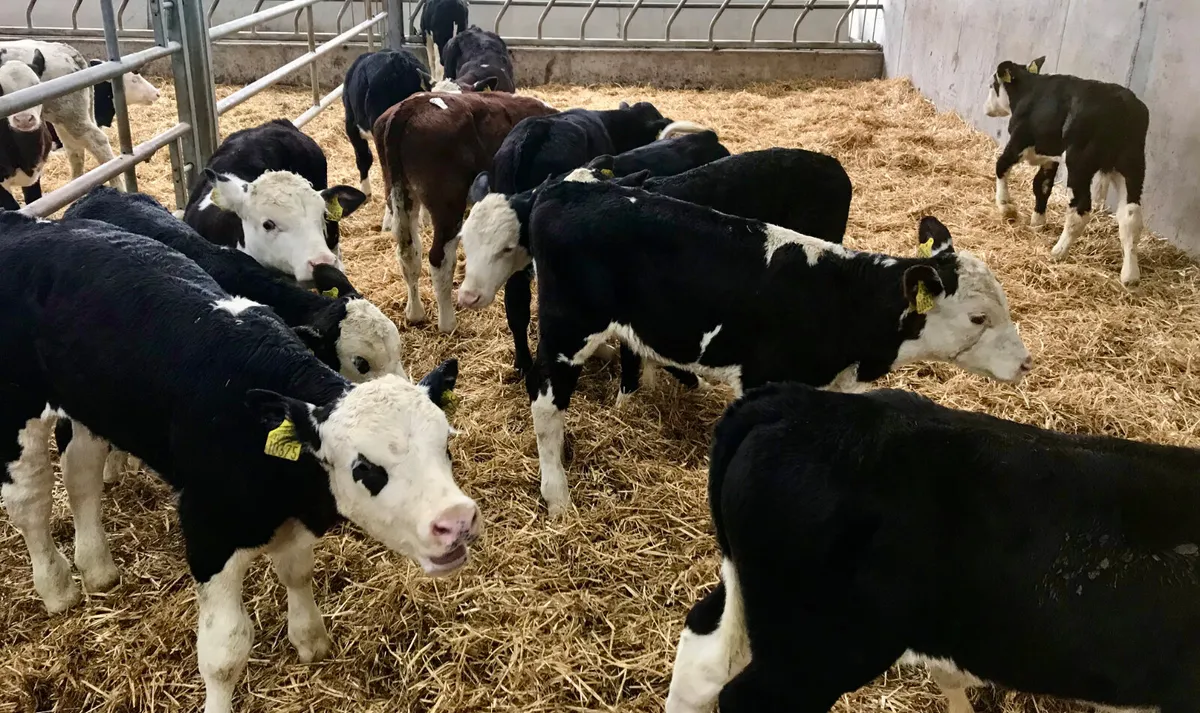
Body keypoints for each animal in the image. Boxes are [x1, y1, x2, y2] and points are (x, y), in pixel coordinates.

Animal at [0, 211, 478, 713]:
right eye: (364, 467)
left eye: (444, 445)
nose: (456, 520)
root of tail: (24, 225)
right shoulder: (209, 530)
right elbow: (224, 652)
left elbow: (297, 572)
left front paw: (309, 639)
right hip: (18, 406)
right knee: (30, 501)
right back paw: (57, 587)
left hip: (91, 406)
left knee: (82, 476)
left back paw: (97, 567)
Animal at [373, 90, 557, 333]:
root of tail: (409, 106)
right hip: (447, 203)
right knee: (439, 258)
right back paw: (447, 322)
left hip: (400, 193)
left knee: (408, 252)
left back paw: (415, 313)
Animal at [477, 180, 1031, 517]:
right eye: (978, 318)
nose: (1025, 363)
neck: (843, 301)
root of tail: (560, 188)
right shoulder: (764, 378)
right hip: (569, 329)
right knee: (545, 401)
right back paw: (557, 495)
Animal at [986, 56, 1149, 286]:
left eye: (993, 84)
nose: (987, 108)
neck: (1028, 90)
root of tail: (1123, 104)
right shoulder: (1050, 157)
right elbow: (1042, 185)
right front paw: (1037, 222)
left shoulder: (1019, 141)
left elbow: (1001, 166)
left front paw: (1005, 206)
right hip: (1131, 165)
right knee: (1131, 215)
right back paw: (1130, 276)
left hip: (1079, 163)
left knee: (1080, 209)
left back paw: (1059, 251)